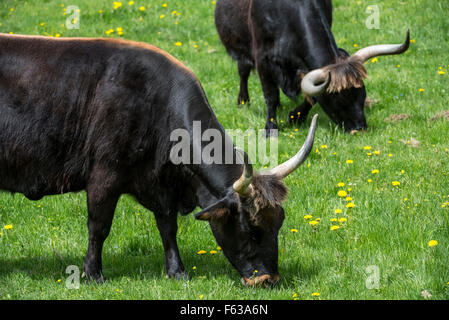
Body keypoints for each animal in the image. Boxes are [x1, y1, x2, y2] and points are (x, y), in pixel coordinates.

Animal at [0, 33, 316, 286]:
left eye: (279, 223)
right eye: (250, 228)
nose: (268, 279)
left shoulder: (162, 186)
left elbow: (168, 227)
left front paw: (177, 271)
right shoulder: (104, 176)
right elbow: (99, 227)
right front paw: (92, 274)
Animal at [214, 0, 410, 135]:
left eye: (362, 95)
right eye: (338, 99)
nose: (359, 128)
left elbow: (312, 97)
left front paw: (295, 117)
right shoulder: (263, 59)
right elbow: (270, 95)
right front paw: (271, 128)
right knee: (243, 72)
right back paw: (243, 101)